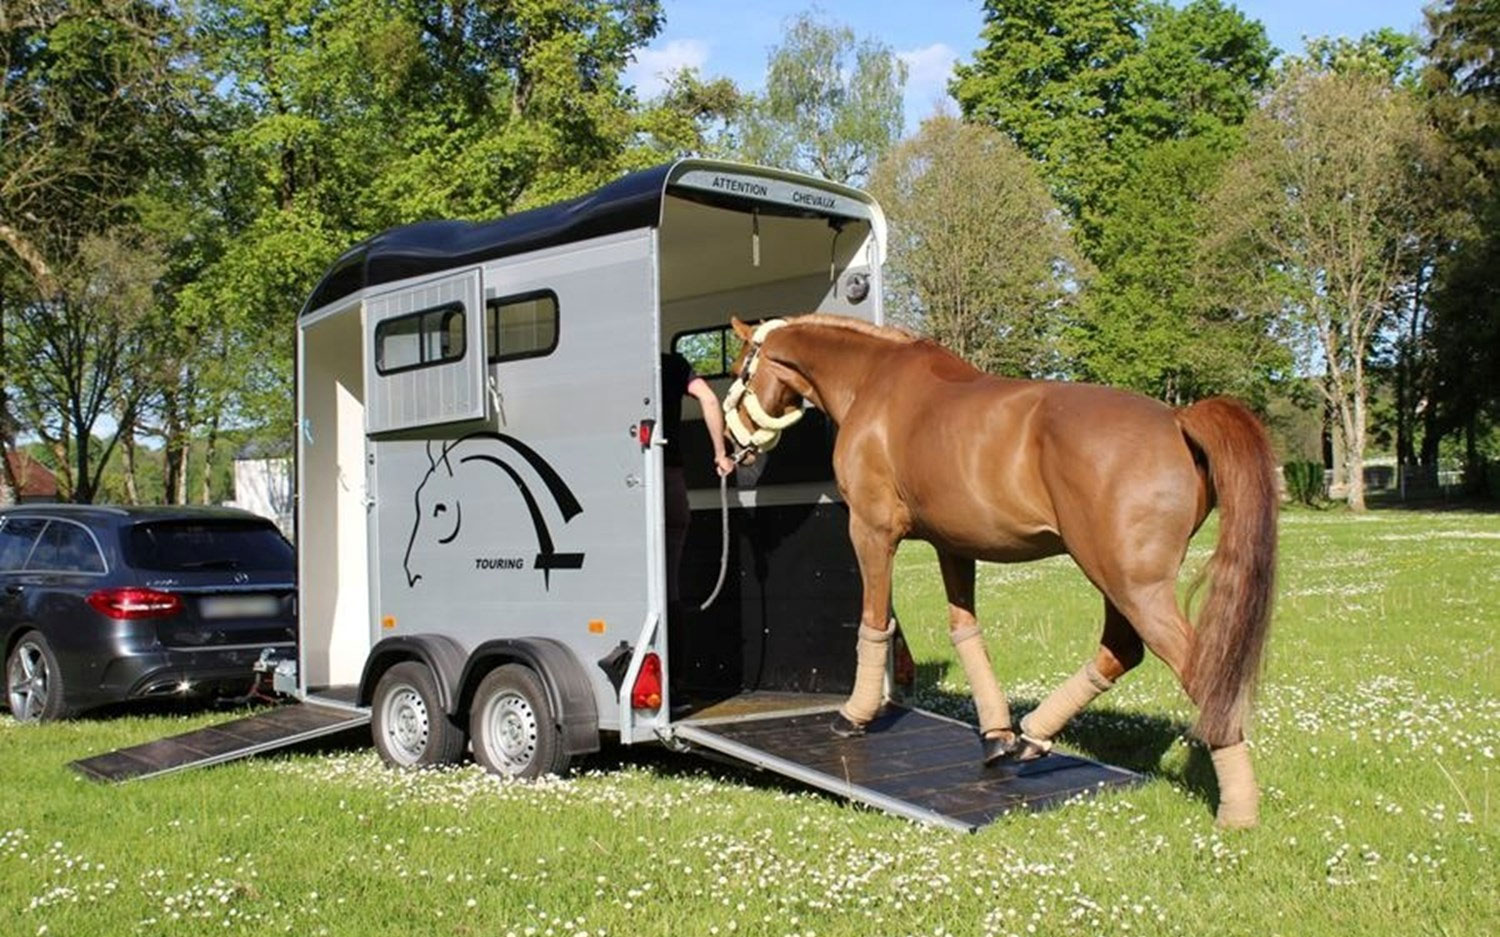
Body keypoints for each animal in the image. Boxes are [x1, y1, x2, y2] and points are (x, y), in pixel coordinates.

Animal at [723, 314, 1277, 828]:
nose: (730, 447)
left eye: (739, 369)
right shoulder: (954, 546)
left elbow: (874, 622)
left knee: (1200, 671)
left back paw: (1238, 810)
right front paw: (996, 735)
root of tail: (1178, 418)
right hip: (1119, 581)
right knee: (1121, 651)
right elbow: (966, 632)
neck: (873, 381)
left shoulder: (872, 532)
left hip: (1131, 584)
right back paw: (1031, 737)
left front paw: (853, 716)